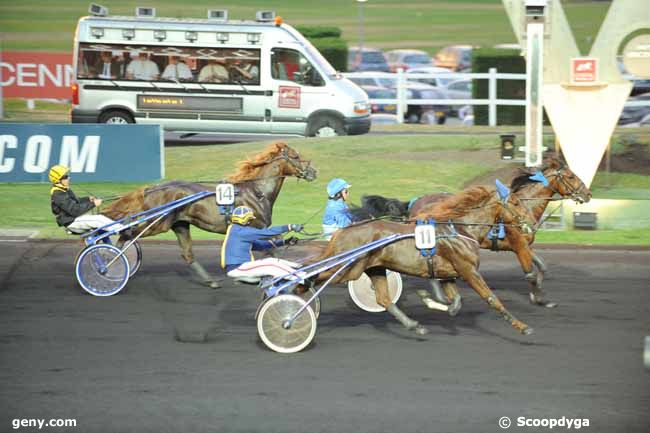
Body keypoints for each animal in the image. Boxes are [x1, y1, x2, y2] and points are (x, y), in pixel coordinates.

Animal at [101, 142, 316, 288]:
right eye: (295, 156)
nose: (313, 172)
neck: (257, 191)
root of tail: (154, 188)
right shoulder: (258, 227)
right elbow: (274, 249)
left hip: (180, 225)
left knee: (187, 254)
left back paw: (210, 280)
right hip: (157, 223)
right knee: (127, 232)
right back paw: (109, 260)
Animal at [306, 186, 536, 334]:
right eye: (516, 202)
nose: (532, 221)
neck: (460, 229)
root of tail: (343, 231)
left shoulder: (449, 273)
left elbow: (455, 301)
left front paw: (431, 301)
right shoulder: (468, 271)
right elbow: (492, 299)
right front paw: (523, 327)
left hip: (374, 268)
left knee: (384, 299)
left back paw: (414, 325)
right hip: (347, 269)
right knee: (313, 275)